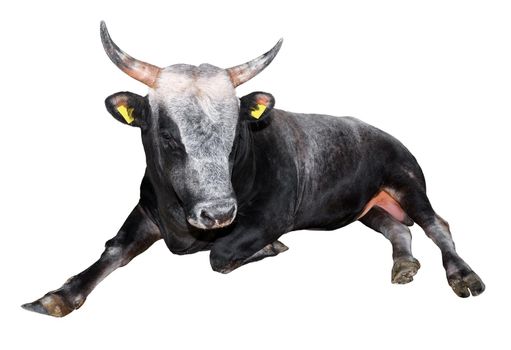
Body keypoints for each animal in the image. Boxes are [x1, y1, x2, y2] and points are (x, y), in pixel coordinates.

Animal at [22, 21, 486, 318]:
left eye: (236, 134)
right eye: (167, 135)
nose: (217, 213)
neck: (181, 223)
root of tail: (381, 131)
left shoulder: (271, 216)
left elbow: (220, 255)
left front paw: (268, 248)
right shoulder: (146, 211)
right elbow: (113, 249)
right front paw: (56, 296)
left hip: (408, 182)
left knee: (437, 224)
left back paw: (463, 275)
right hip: (366, 207)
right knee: (396, 228)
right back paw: (403, 265)